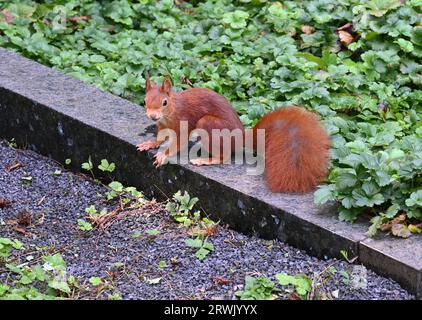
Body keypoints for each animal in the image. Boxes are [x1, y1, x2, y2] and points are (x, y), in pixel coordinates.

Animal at [137, 75, 332, 192]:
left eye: (164, 102)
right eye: (145, 101)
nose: (152, 116)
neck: (170, 113)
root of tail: (241, 137)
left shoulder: (184, 123)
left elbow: (179, 142)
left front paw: (163, 154)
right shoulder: (162, 125)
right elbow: (159, 137)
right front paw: (150, 144)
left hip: (208, 124)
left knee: (224, 156)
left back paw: (204, 160)